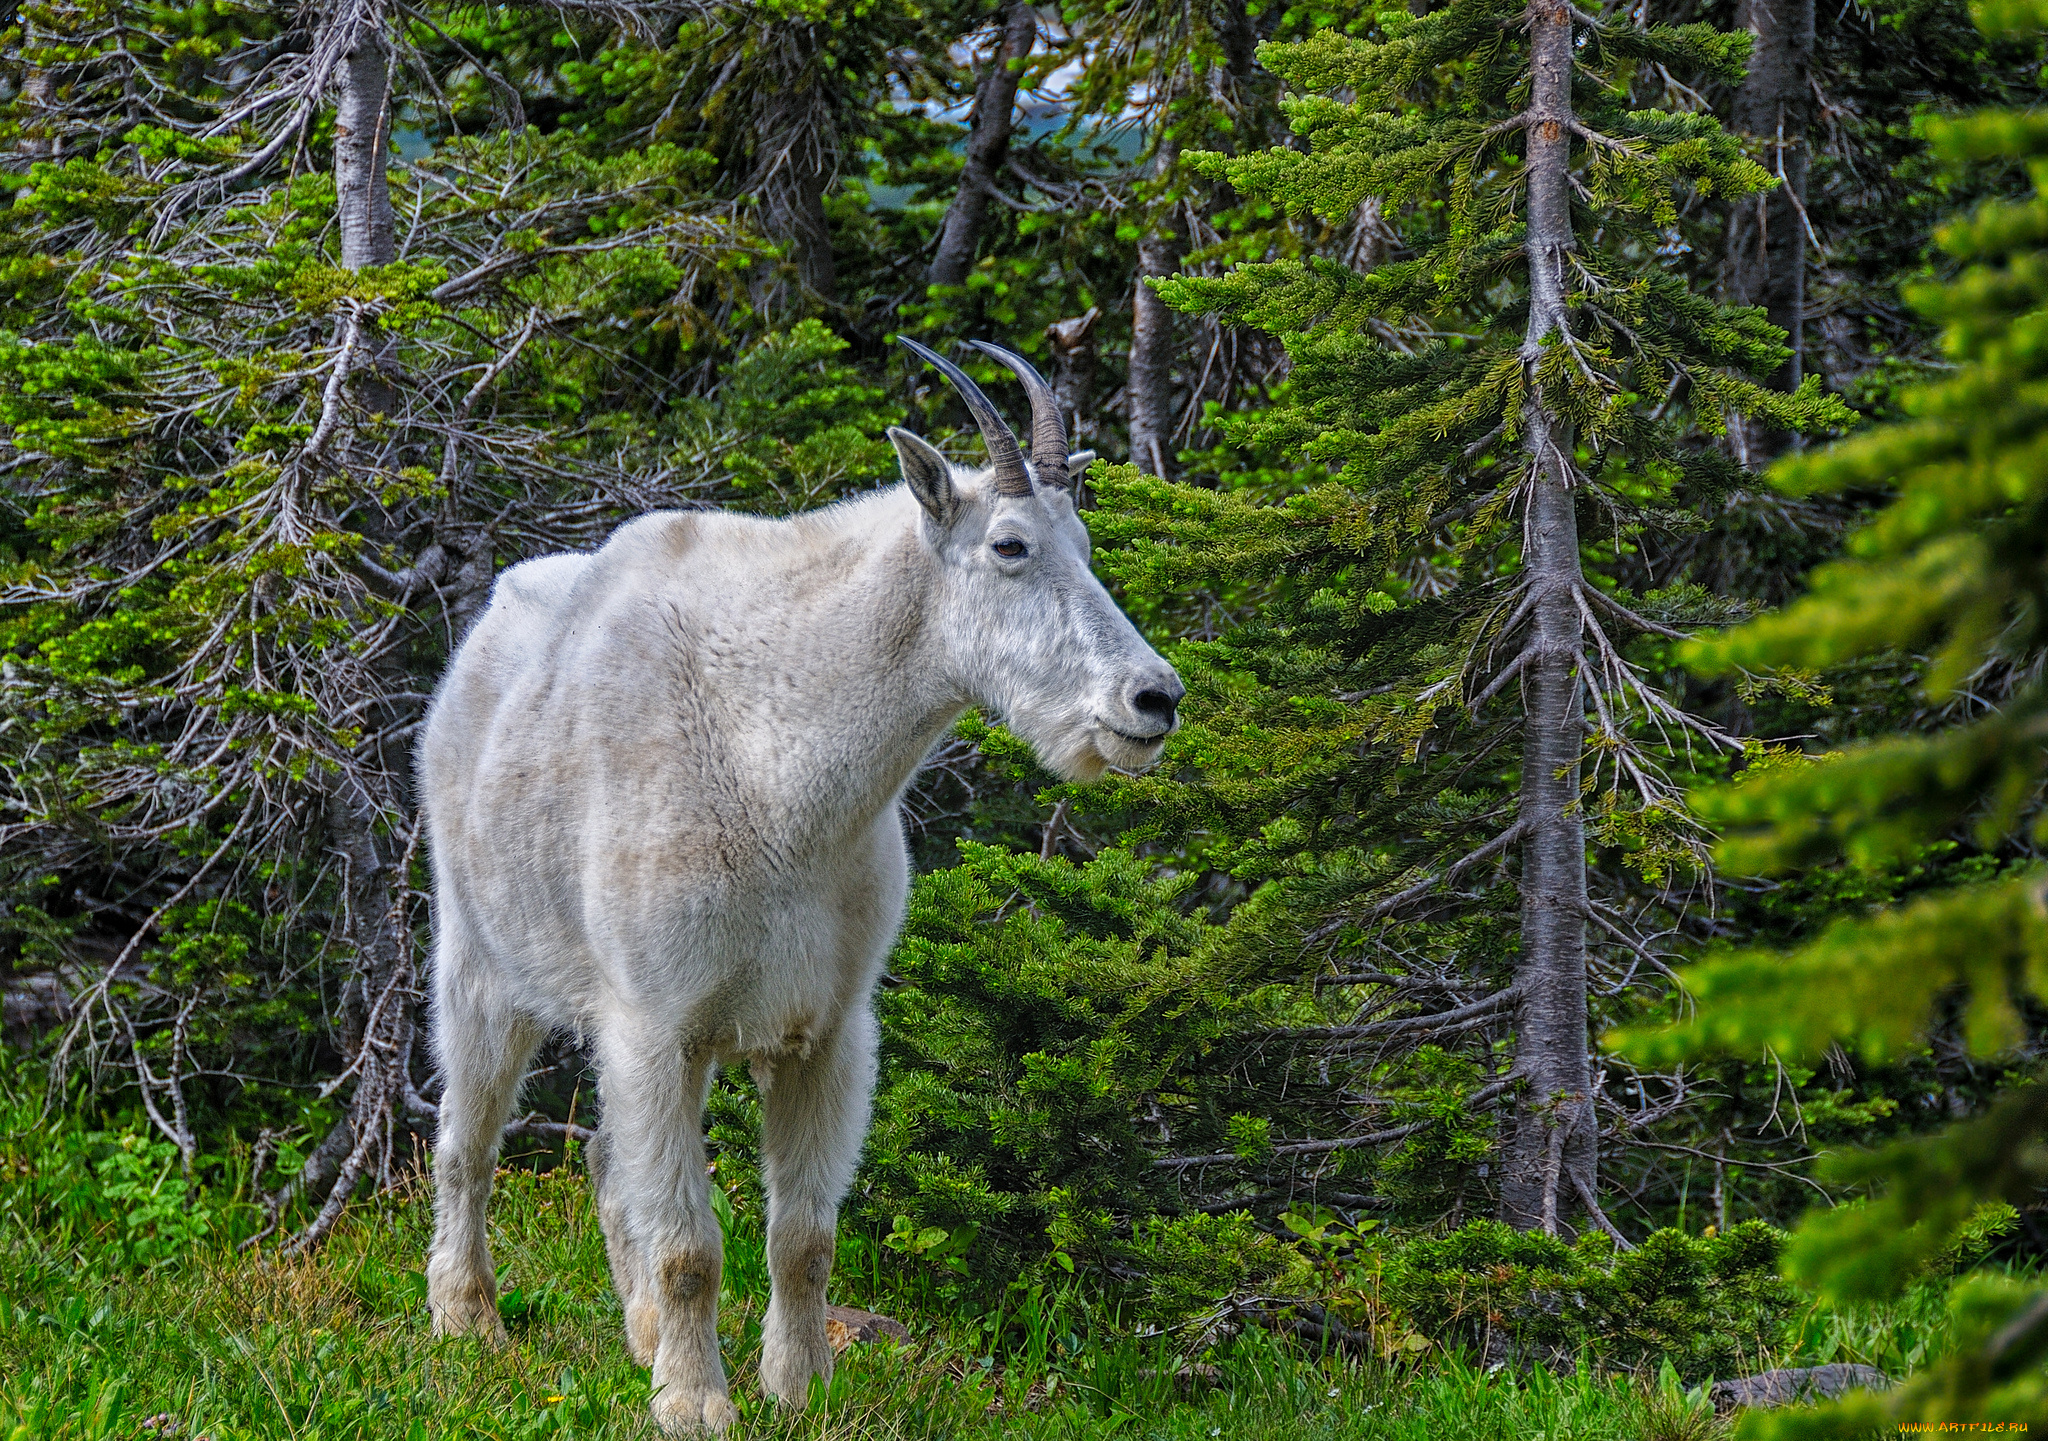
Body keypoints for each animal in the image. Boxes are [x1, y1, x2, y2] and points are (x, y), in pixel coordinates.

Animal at [415, 337, 1187, 1432]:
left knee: (605, 1162)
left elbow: (803, 1236)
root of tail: (478, 642)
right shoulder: (658, 1019)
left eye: (1079, 539)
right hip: (478, 957)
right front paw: (696, 1403)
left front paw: (799, 1389)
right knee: (465, 1144)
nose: (1152, 699)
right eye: (1008, 546)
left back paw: (636, 1334)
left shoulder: (827, 1028)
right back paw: (469, 1322)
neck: (782, 765)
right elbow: (693, 1245)